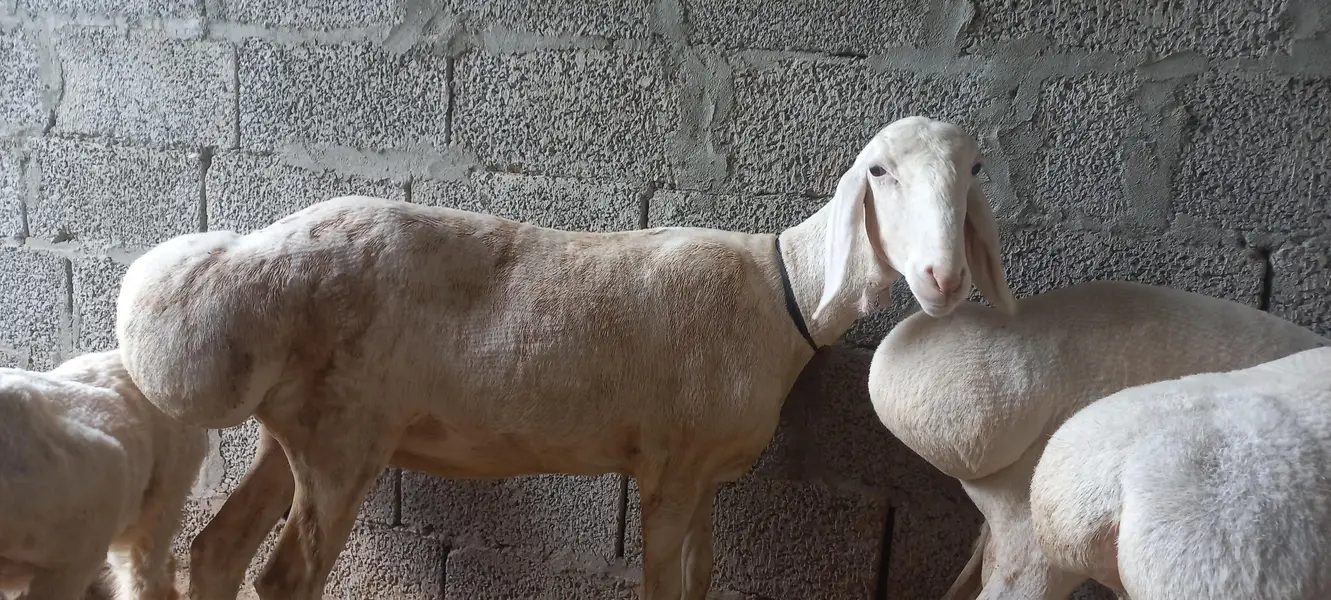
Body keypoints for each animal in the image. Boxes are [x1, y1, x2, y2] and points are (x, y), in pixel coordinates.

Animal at [113, 115, 1017, 600]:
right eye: (879, 171)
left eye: (976, 168)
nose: (943, 279)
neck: (782, 288)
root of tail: (246, 262)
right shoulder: (671, 471)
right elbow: (662, 585)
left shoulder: (704, 474)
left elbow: (701, 578)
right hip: (341, 444)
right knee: (283, 578)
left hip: (297, 428)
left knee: (216, 550)